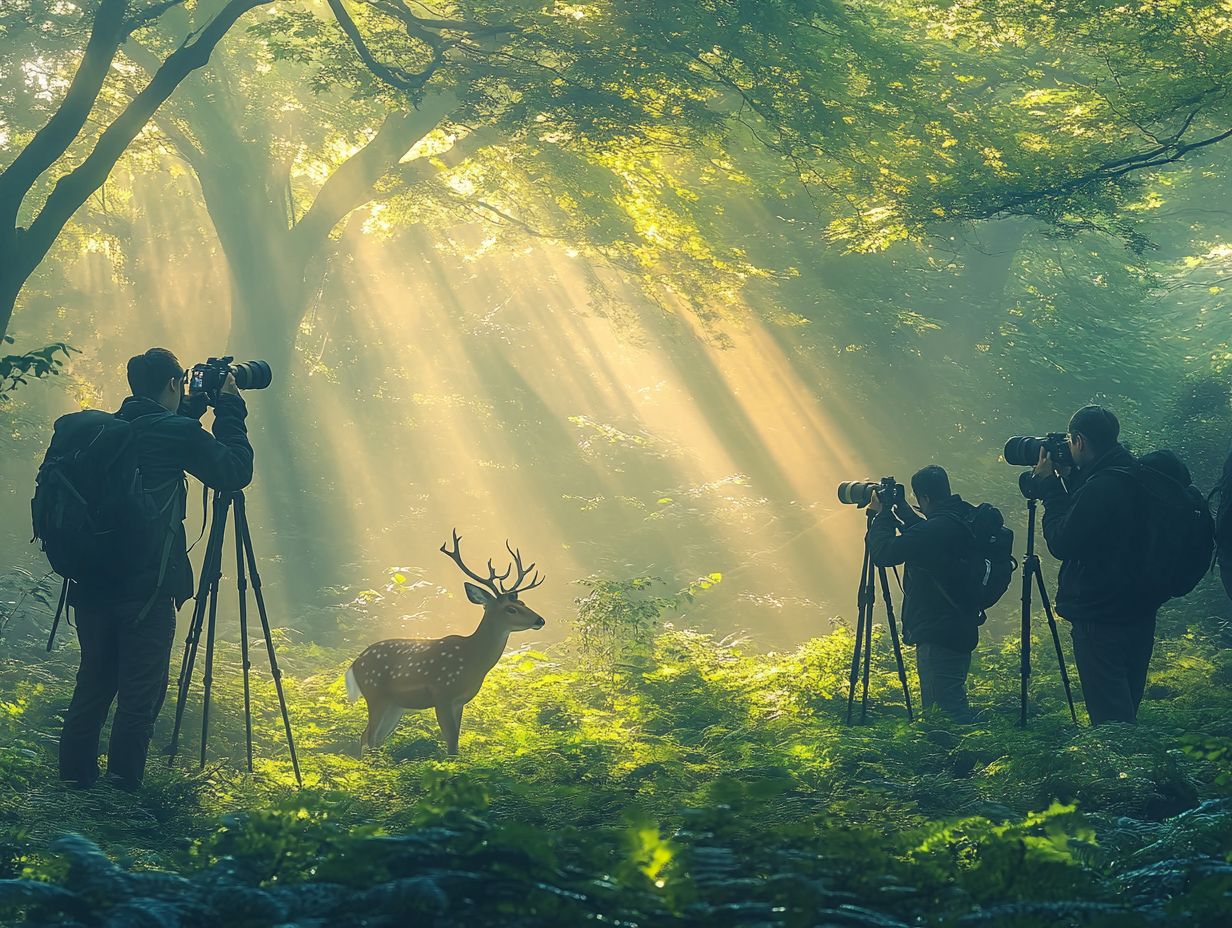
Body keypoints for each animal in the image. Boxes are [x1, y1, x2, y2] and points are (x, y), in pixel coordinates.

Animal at [342, 527, 544, 754]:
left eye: (522, 602)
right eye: (511, 609)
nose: (540, 620)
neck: (473, 659)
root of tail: (354, 665)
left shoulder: (460, 701)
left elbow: (455, 740)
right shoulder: (442, 693)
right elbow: (450, 741)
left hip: (395, 705)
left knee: (371, 737)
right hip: (375, 693)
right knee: (368, 736)